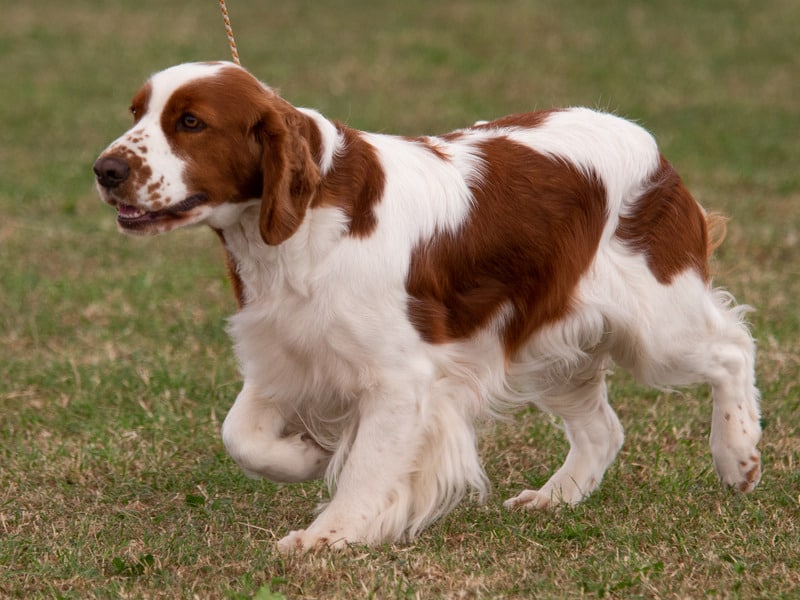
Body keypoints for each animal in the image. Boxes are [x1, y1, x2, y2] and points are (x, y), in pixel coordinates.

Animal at [94, 62, 764, 552]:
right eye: (135, 113)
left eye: (190, 122)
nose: (105, 170)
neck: (299, 227)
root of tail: (648, 144)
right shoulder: (287, 354)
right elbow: (241, 435)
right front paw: (308, 456)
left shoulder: (400, 379)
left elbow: (367, 468)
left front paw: (326, 536)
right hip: (549, 342)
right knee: (603, 429)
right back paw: (555, 497)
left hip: (656, 325)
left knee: (732, 349)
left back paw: (738, 456)